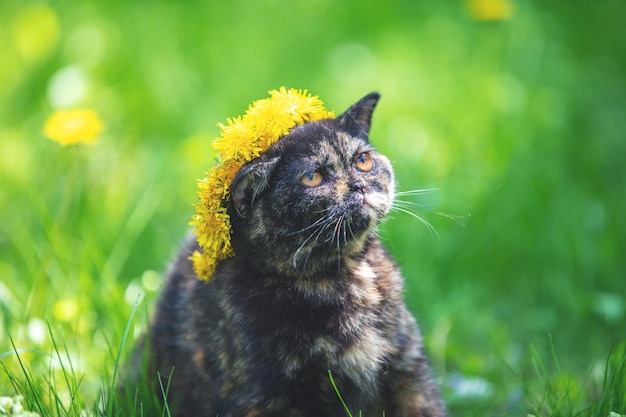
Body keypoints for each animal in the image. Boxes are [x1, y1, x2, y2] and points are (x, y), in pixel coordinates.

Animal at [120, 92, 444, 414]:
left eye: (363, 161)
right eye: (312, 178)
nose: (359, 185)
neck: (340, 277)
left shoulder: (408, 372)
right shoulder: (265, 396)